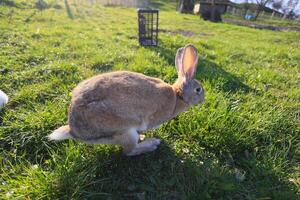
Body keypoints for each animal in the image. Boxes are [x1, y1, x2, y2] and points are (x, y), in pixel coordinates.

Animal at [48, 43, 204, 156]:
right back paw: (151, 144)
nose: (203, 100)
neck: (178, 95)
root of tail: (73, 131)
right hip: (125, 131)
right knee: (129, 151)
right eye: (198, 90)